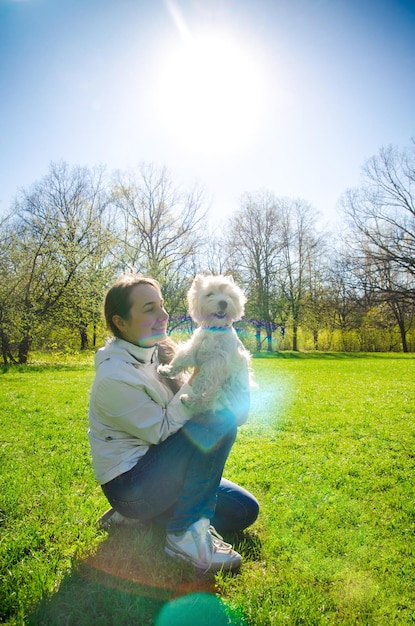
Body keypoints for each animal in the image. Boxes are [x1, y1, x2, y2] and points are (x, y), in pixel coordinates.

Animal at [157, 272, 252, 414]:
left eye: (229, 295)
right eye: (209, 294)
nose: (223, 302)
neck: (215, 328)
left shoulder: (221, 357)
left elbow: (209, 368)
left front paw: (198, 384)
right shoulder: (194, 346)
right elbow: (183, 356)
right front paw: (167, 370)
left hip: (221, 389)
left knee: (207, 402)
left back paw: (189, 399)